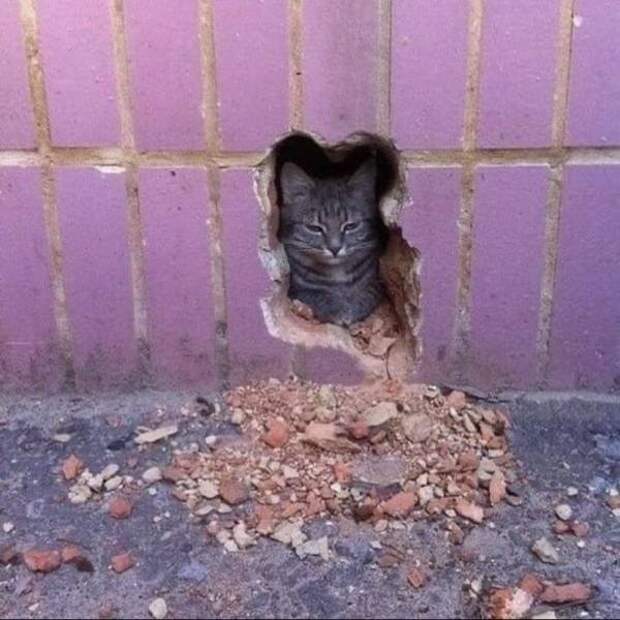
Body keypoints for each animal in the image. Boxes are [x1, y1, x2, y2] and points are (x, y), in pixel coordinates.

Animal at [278, 157, 387, 326]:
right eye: (314, 228)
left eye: (351, 226)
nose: (335, 248)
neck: (337, 272)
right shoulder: (296, 289)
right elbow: (314, 295)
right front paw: (337, 308)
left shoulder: (377, 281)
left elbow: (370, 291)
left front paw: (355, 304)